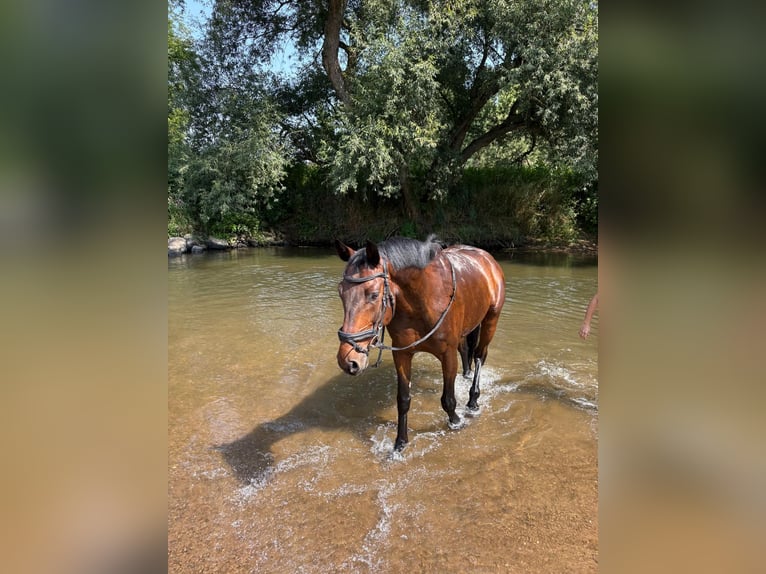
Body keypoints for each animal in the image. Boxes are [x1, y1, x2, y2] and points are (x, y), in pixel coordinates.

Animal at [335, 235, 506, 451]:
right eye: (341, 292)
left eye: (373, 294)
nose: (347, 360)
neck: (422, 300)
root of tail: (486, 257)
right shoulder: (402, 353)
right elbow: (403, 400)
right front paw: (400, 442)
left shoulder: (447, 354)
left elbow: (448, 399)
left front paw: (456, 421)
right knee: (466, 349)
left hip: (491, 319)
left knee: (479, 356)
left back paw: (473, 399)